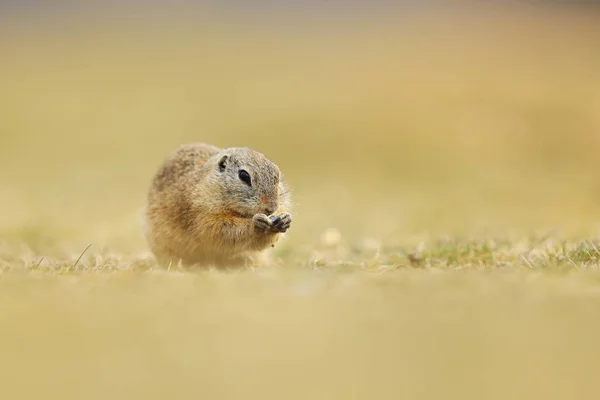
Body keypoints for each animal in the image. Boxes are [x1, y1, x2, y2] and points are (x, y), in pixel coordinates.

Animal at [144, 142, 292, 268]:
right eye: (244, 175)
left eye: (277, 174)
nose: (272, 207)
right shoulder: (203, 215)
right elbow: (221, 231)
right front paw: (256, 222)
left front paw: (285, 220)